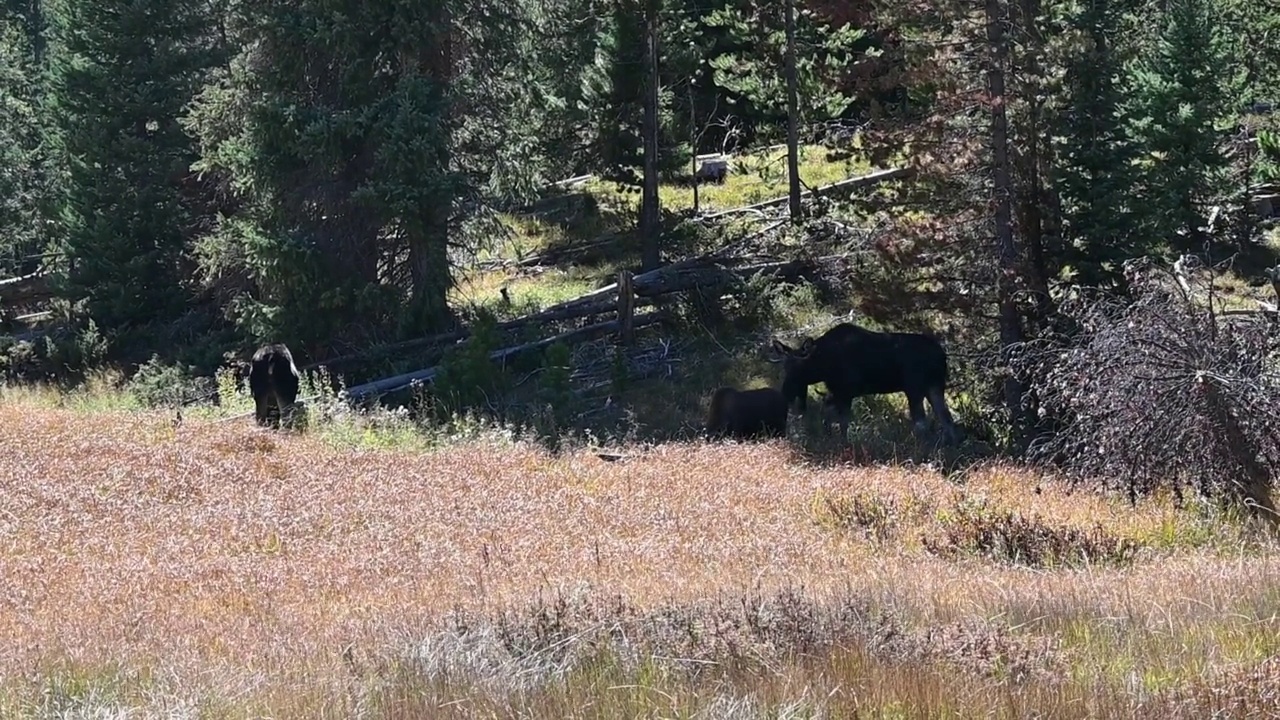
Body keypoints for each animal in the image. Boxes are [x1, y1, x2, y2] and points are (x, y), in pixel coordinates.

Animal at [768, 320, 962, 443]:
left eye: (800, 367)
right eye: (784, 367)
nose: (785, 391)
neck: (823, 366)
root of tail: (942, 355)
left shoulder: (846, 392)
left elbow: (843, 423)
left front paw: (842, 443)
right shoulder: (836, 392)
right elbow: (828, 416)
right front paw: (827, 438)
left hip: (914, 388)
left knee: (921, 423)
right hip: (935, 386)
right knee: (946, 418)